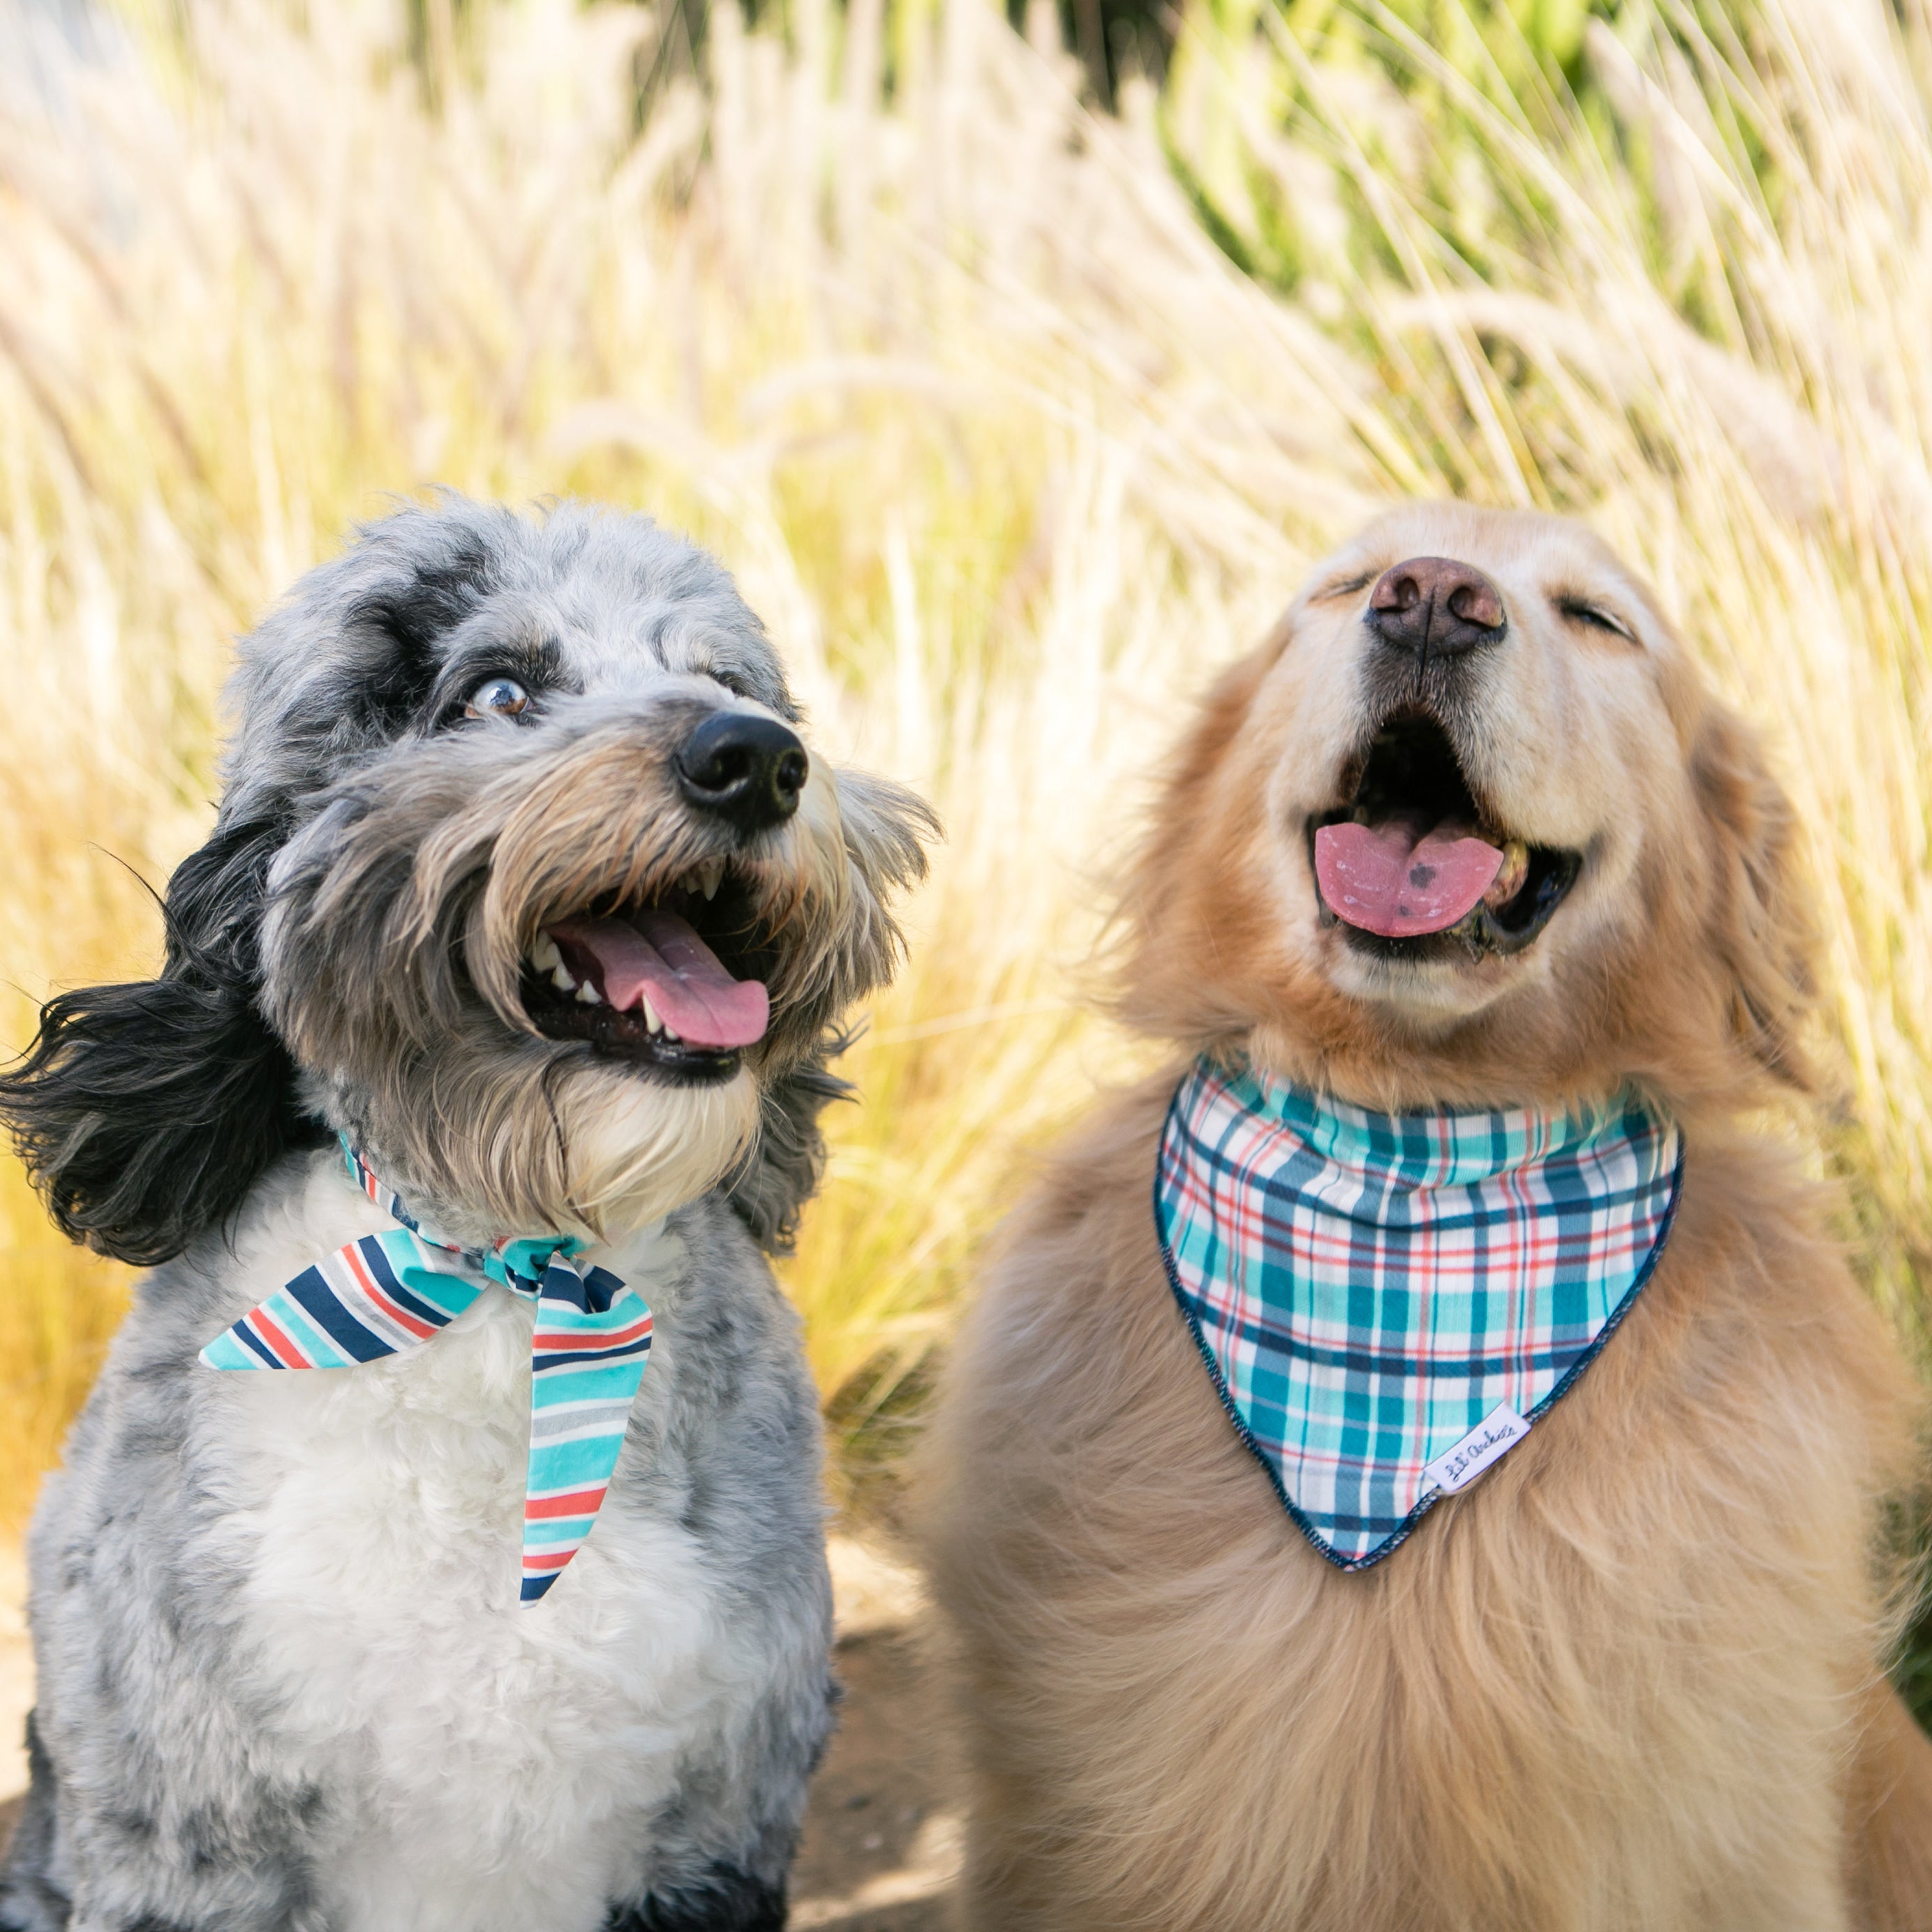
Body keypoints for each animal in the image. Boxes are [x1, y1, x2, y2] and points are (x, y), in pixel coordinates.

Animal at [0, 498, 935, 1932]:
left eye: (723, 679)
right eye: (496, 691)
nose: (757, 759)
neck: (510, 1263)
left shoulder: (716, 1834)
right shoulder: (185, 1843)